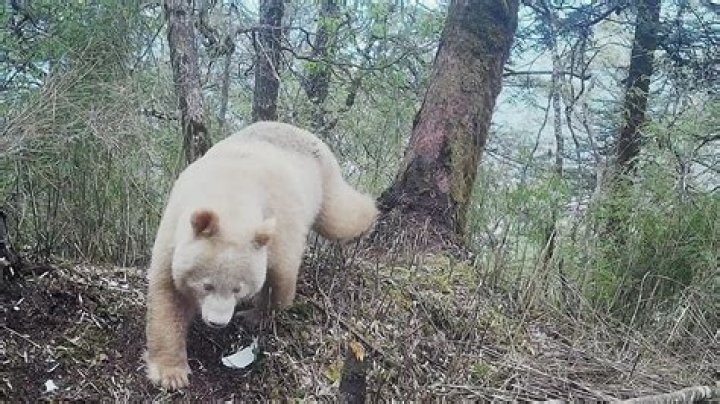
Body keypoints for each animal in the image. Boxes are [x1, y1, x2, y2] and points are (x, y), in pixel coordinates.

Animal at [144, 121, 379, 390]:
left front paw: (255, 316)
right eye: (206, 285)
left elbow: (281, 274)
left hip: (323, 179)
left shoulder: (277, 220)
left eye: (238, 289)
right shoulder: (175, 225)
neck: (230, 191)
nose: (217, 322)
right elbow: (167, 293)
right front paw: (170, 374)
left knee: (339, 216)